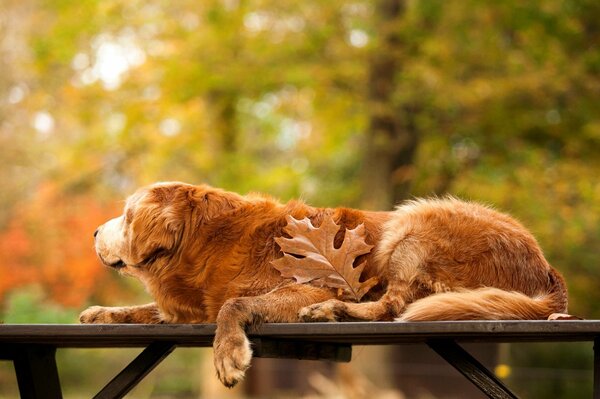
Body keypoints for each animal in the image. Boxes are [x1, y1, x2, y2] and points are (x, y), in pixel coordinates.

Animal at [79, 184, 568, 388]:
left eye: (125, 216)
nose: (93, 232)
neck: (205, 241)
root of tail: (545, 266)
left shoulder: (312, 286)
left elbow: (234, 304)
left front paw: (229, 353)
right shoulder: (192, 305)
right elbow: (148, 310)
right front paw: (103, 313)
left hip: (413, 222)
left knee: (393, 306)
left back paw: (335, 313)